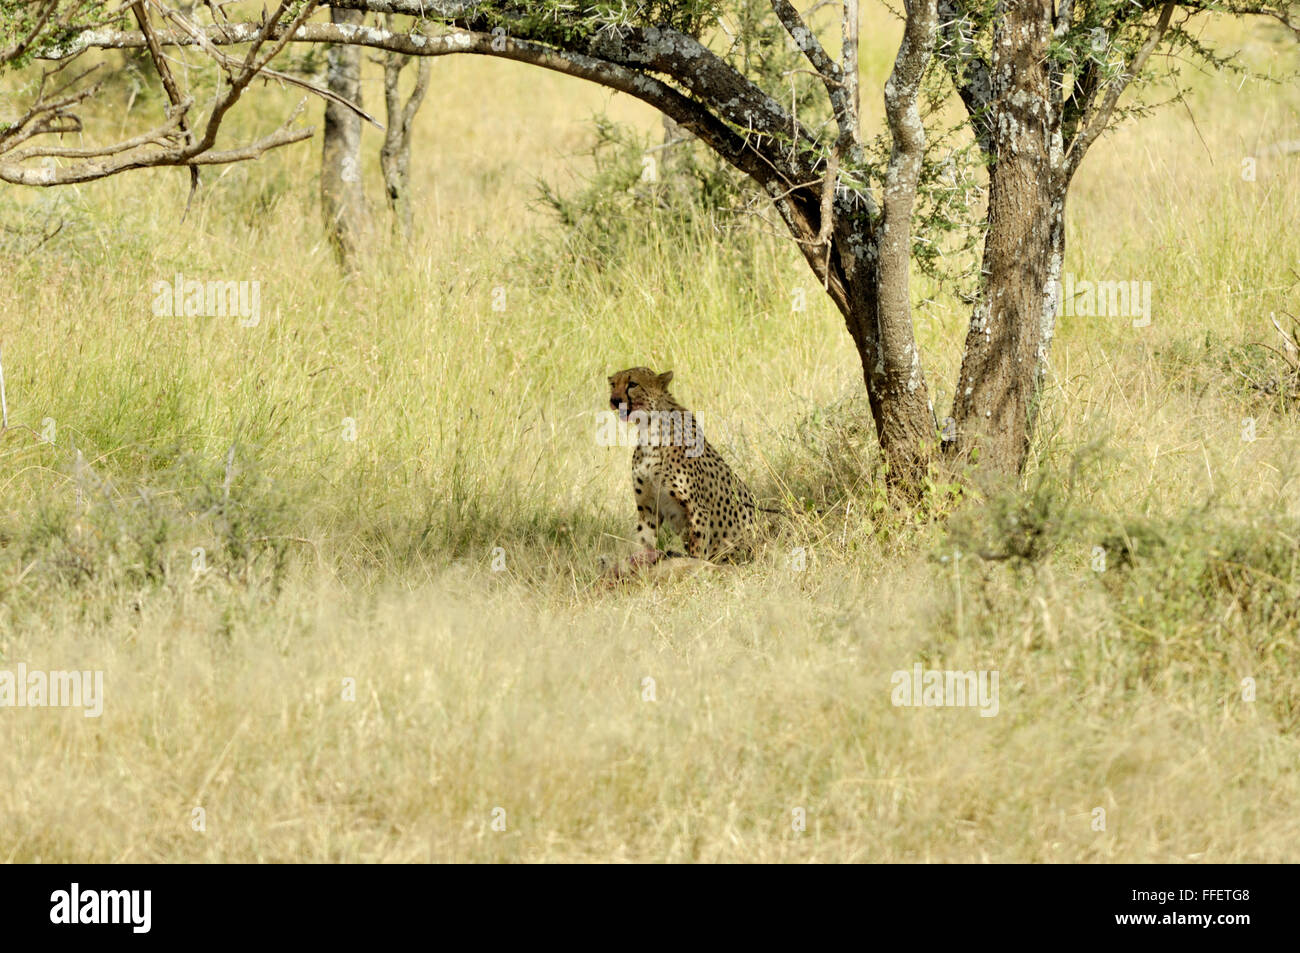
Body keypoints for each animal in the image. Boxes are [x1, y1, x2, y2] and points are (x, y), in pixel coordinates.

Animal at [605, 364, 759, 561]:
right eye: (613, 385)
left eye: (632, 384)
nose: (615, 400)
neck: (649, 428)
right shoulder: (648, 508)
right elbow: (645, 541)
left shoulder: (698, 510)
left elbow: (697, 551)